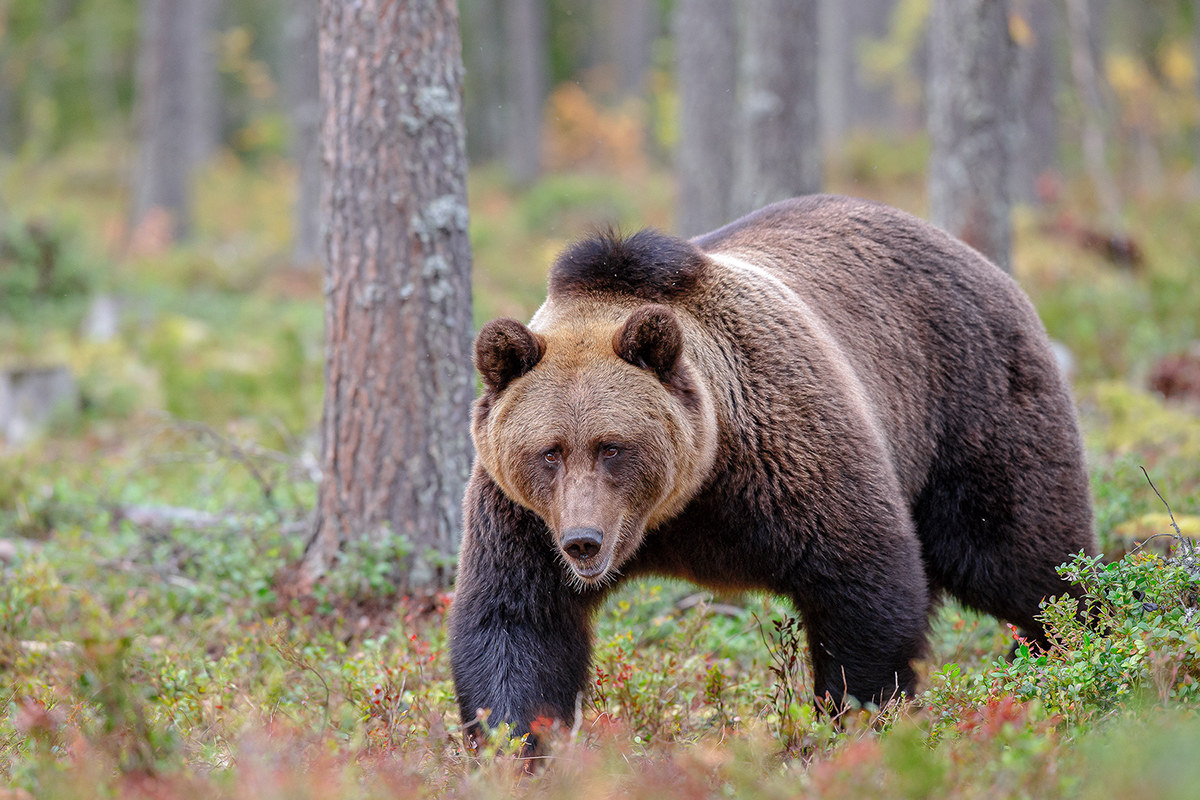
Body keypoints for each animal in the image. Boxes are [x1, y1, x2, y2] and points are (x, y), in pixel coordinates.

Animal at [448, 195, 1096, 750]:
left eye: (612, 447)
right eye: (549, 451)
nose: (584, 542)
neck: (681, 506)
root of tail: (975, 257)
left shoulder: (787, 462)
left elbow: (865, 587)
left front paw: (853, 719)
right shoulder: (521, 520)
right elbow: (515, 625)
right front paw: (514, 747)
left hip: (970, 404)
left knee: (1026, 556)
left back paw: (1072, 650)